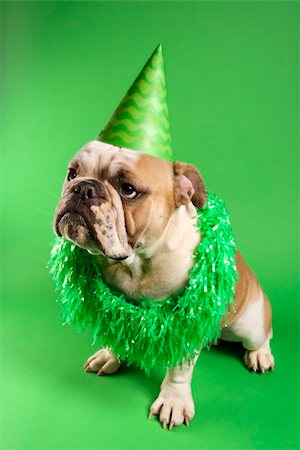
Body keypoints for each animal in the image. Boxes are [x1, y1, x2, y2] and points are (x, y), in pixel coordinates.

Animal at [53, 140, 274, 428]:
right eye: (72, 174)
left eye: (128, 190)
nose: (83, 188)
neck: (135, 264)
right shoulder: (115, 304)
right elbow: (117, 329)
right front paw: (110, 355)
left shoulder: (185, 320)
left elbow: (179, 368)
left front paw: (173, 401)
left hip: (250, 326)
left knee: (263, 335)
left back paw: (261, 355)